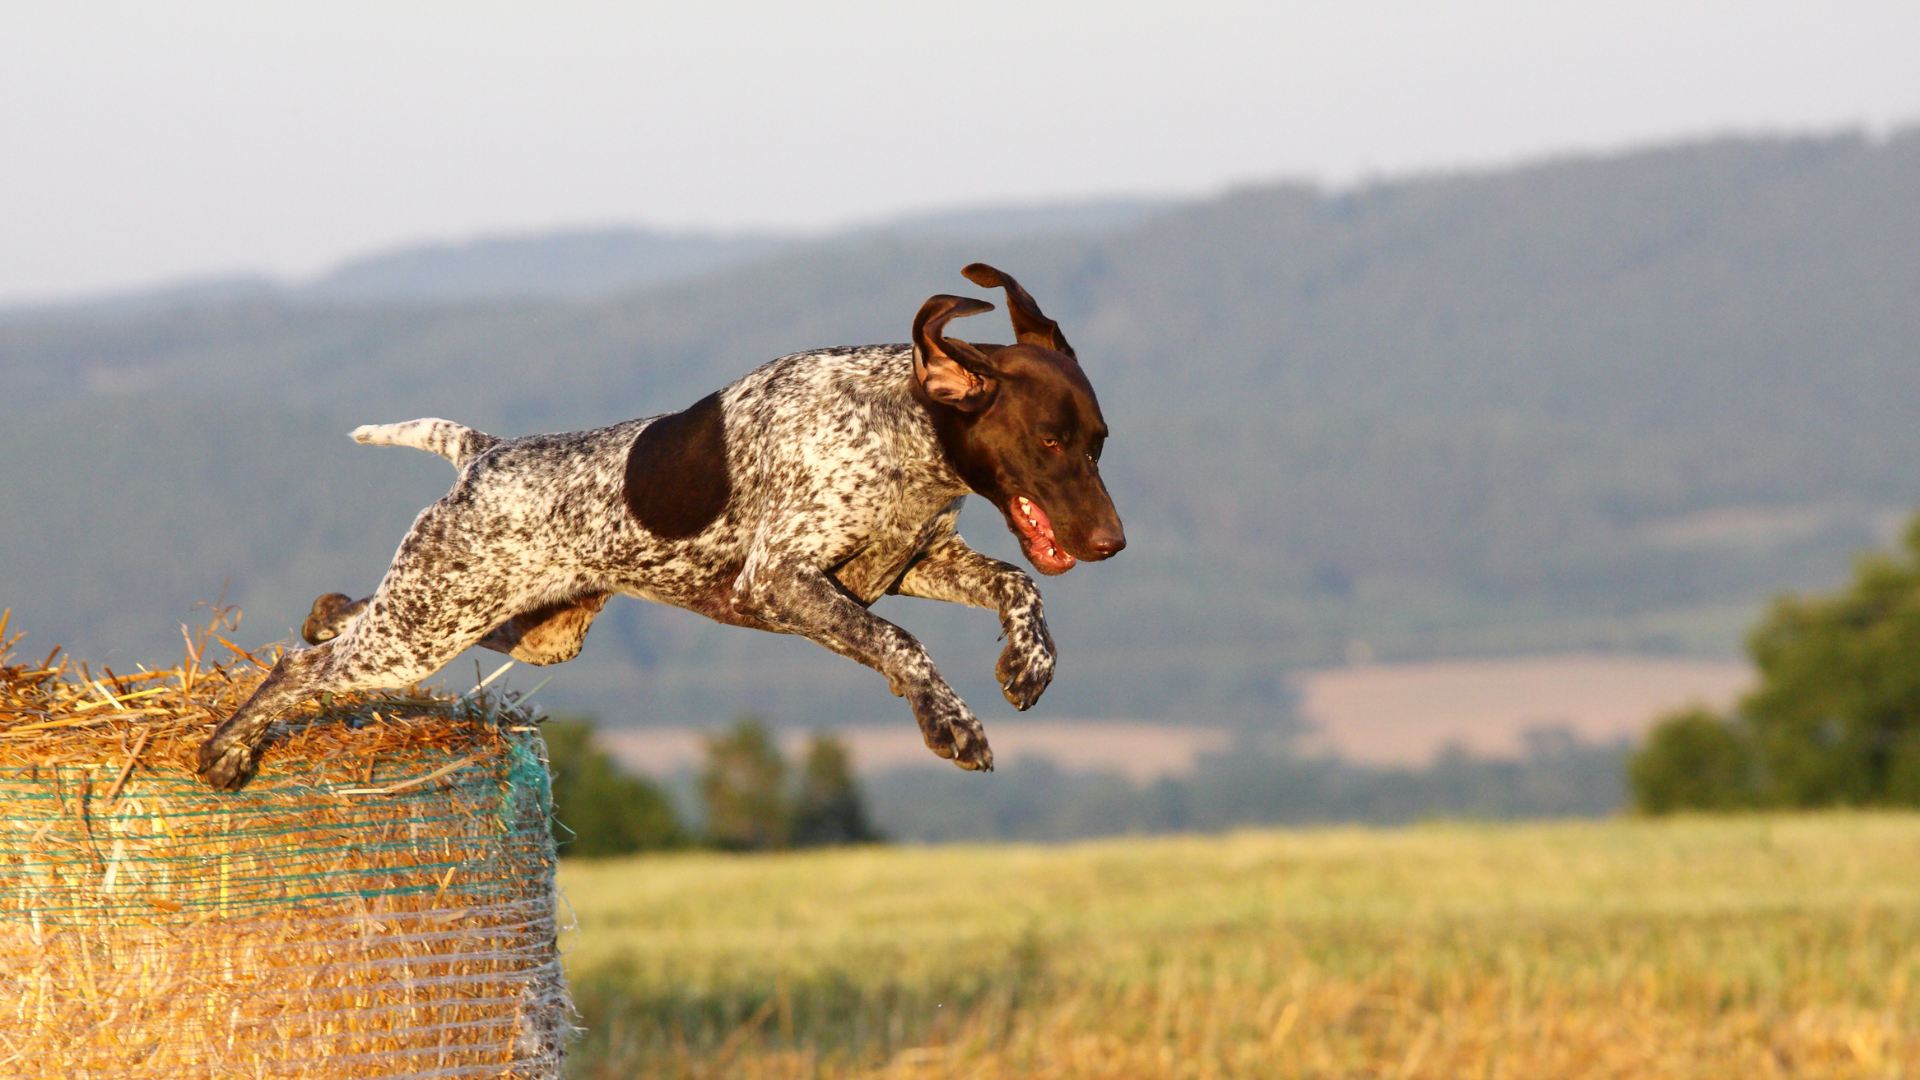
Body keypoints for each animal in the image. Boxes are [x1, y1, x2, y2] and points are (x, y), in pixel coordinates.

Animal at [194, 259, 1121, 780]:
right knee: (295, 671)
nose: (1112, 544)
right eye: (1048, 441)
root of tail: (484, 452)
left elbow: (1021, 586)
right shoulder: (782, 582)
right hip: (426, 629)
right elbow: (903, 644)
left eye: (1100, 442)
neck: (901, 426)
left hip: (522, 625)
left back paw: (321, 616)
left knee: (340, 625)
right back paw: (225, 749)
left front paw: (1029, 662)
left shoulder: (908, 565)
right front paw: (951, 723)